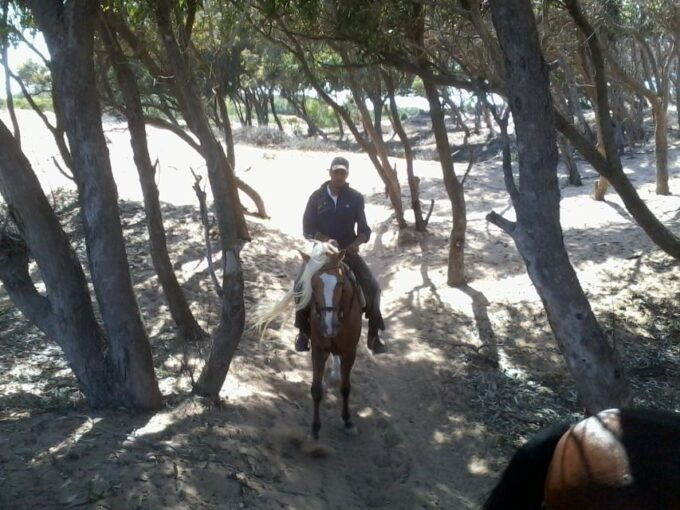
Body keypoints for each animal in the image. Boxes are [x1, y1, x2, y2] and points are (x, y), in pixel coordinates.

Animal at [252, 242, 364, 438]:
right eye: (313, 284)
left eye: (340, 283)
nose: (329, 325)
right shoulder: (319, 349)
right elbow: (316, 389)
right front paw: (315, 428)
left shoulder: (350, 351)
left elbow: (345, 387)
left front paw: (348, 421)